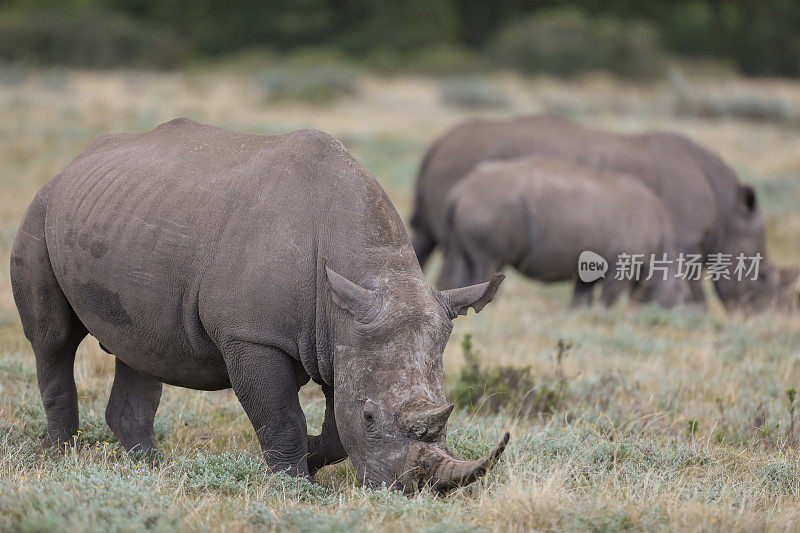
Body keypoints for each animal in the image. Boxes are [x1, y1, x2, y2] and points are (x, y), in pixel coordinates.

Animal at [10, 118, 506, 492]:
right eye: (370, 417)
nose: (413, 490)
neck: (368, 268)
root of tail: (71, 164)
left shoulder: (342, 332)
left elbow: (334, 427)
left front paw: (310, 459)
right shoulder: (253, 336)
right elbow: (282, 416)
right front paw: (293, 486)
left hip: (124, 217)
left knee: (139, 347)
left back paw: (150, 469)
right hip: (41, 209)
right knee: (53, 341)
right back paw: (62, 458)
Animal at [438, 154, 688, 308]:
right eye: (678, 295)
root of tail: (460, 190)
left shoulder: (591, 265)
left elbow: (581, 296)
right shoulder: (621, 263)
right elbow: (608, 298)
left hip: (476, 207)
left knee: (460, 258)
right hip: (491, 205)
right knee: (488, 261)